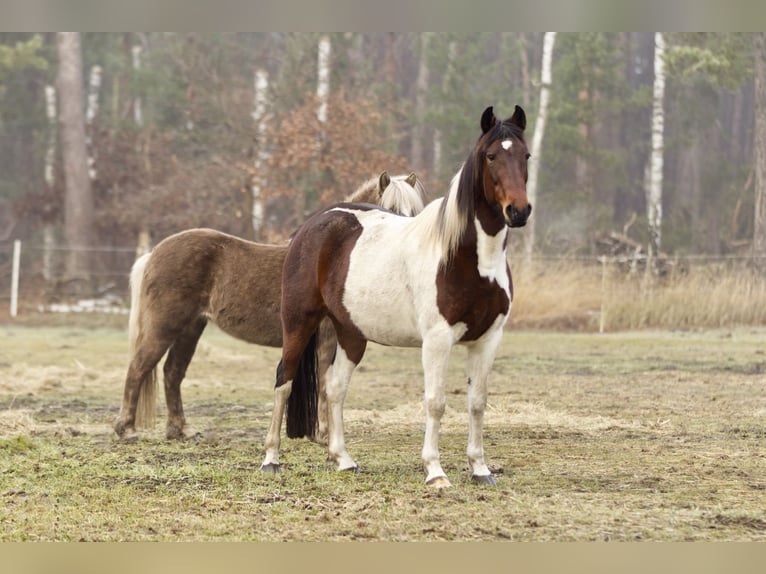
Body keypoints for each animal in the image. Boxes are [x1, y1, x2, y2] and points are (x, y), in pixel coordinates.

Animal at [115, 173, 428, 444]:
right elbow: (325, 383)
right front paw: (325, 435)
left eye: (415, 211)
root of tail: (154, 253)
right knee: (138, 367)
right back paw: (127, 430)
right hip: (165, 326)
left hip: (191, 327)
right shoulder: (327, 340)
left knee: (172, 373)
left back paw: (181, 430)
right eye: (390, 209)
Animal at [260, 106, 532, 488]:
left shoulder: (489, 339)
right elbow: (435, 402)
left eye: (526, 155)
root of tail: (313, 224)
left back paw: (343, 459)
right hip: (299, 322)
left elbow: (477, 402)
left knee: (335, 387)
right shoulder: (437, 339)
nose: (518, 211)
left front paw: (480, 469)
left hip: (351, 333)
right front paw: (435, 472)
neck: (469, 258)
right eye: (491, 156)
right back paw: (271, 459)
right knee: (284, 380)